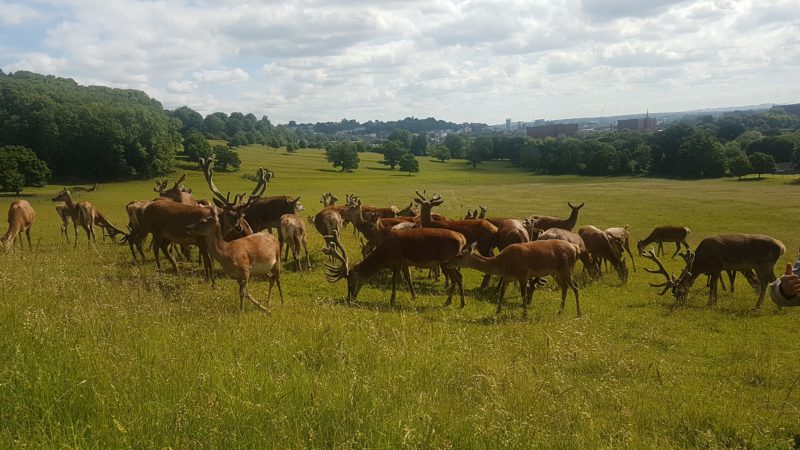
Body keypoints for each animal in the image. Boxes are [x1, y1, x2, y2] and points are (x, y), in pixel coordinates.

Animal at [323, 228, 466, 307]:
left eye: (350, 280)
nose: (349, 298)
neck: (384, 255)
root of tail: (463, 239)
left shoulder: (397, 261)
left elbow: (394, 280)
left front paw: (392, 300)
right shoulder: (405, 263)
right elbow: (408, 279)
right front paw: (414, 296)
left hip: (446, 259)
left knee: (459, 276)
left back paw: (461, 303)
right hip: (448, 262)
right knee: (455, 278)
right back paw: (450, 301)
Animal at [448, 239, 581, 316]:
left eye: (460, 255)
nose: (446, 262)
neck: (501, 263)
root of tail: (575, 248)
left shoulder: (523, 274)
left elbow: (523, 294)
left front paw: (524, 314)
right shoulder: (508, 277)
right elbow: (502, 293)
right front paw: (497, 311)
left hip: (566, 267)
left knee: (575, 287)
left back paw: (578, 313)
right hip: (555, 272)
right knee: (565, 287)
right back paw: (560, 310)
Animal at [643, 234, 785, 308]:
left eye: (680, 291)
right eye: (673, 293)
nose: (679, 304)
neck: (702, 261)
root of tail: (782, 247)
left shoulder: (716, 266)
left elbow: (712, 285)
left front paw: (710, 303)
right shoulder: (714, 270)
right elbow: (713, 285)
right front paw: (713, 302)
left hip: (765, 264)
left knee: (771, 281)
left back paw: (774, 306)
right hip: (760, 266)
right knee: (765, 282)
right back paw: (759, 305)